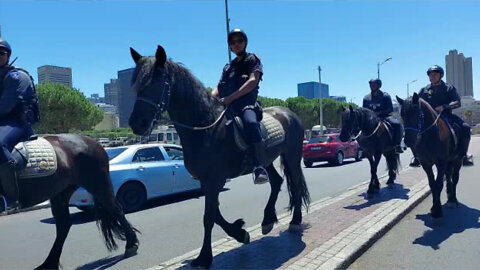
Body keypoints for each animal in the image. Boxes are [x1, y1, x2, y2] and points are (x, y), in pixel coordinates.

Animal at [0, 134, 139, 268]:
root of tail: (95, 143)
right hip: (60, 192)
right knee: (64, 225)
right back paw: (49, 263)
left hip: (98, 185)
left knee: (116, 210)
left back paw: (131, 244)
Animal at [127, 46, 310, 268]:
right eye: (137, 85)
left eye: (157, 82)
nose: (137, 123)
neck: (206, 127)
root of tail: (289, 113)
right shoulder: (207, 181)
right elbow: (215, 214)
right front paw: (240, 232)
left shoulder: (215, 180)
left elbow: (209, 217)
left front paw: (204, 257)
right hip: (267, 160)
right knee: (276, 182)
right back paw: (267, 220)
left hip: (292, 156)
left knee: (296, 184)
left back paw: (295, 221)